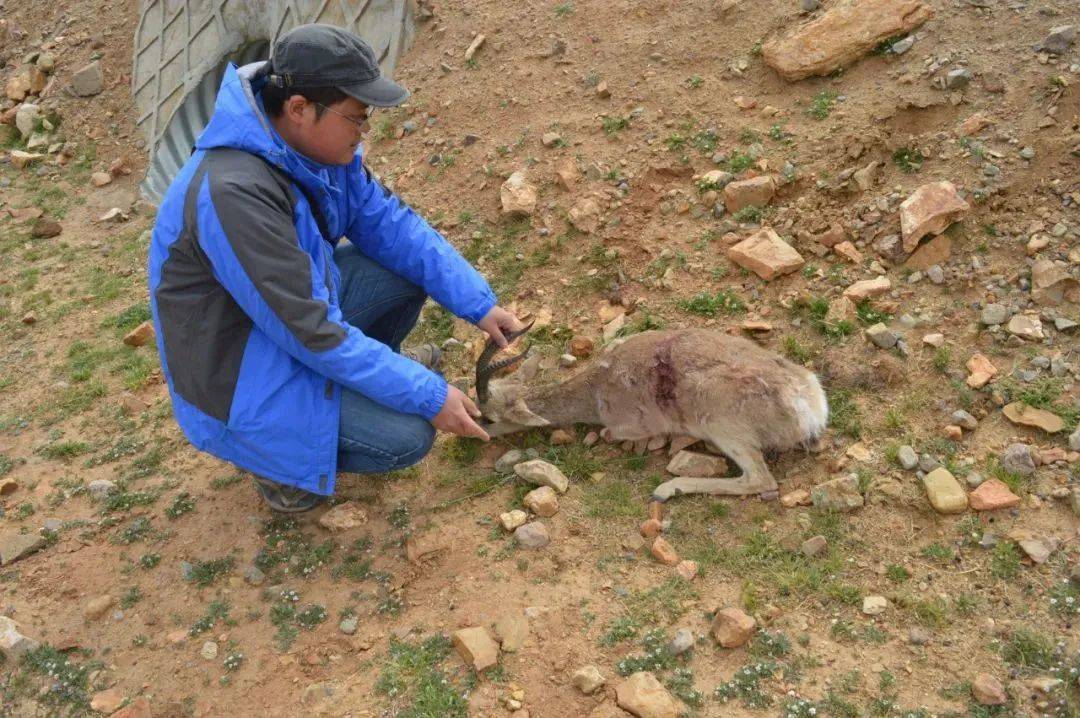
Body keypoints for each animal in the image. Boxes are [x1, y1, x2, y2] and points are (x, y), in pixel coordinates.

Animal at [473, 326, 825, 500]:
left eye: (489, 418)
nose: (471, 434)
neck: (596, 388)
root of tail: (809, 405)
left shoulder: (626, 425)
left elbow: (608, 433)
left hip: (724, 429)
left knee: (760, 480)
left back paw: (666, 490)